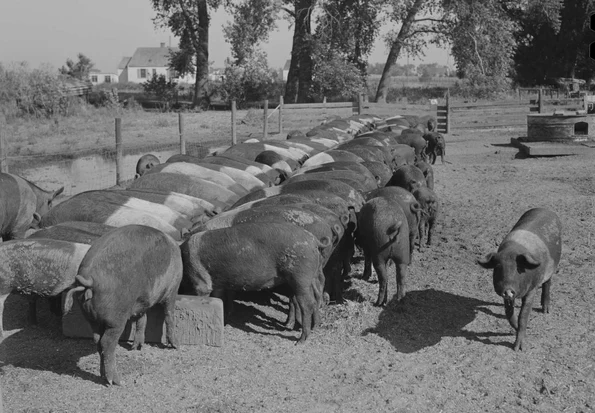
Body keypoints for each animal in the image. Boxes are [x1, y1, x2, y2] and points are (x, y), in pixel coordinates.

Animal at [63, 224, 183, 384]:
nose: (178, 346)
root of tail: (89, 280)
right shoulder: (173, 287)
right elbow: (169, 314)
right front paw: (176, 346)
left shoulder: (140, 303)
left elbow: (142, 319)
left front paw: (136, 347)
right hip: (116, 319)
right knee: (107, 343)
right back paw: (116, 382)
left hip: (91, 318)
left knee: (97, 341)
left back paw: (104, 376)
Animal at [480, 208, 564, 350]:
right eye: (498, 267)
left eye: (519, 268)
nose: (508, 290)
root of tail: (545, 209)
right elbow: (509, 314)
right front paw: (512, 331)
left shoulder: (532, 289)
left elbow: (523, 315)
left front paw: (518, 348)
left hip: (552, 267)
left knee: (547, 283)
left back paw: (545, 311)